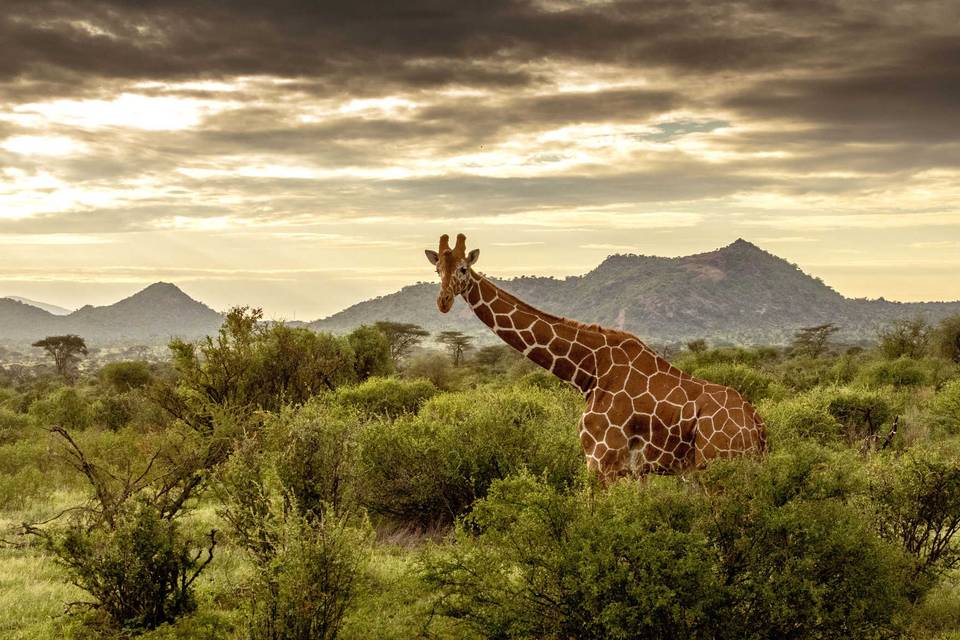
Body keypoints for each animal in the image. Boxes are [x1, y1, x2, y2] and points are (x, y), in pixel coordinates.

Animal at [426, 234, 764, 480]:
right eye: (437, 270)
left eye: (463, 269)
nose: (443, 301)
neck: (589, 370)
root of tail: (758, 426)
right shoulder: (634, 472)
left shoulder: (602, 459)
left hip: (718, 465)